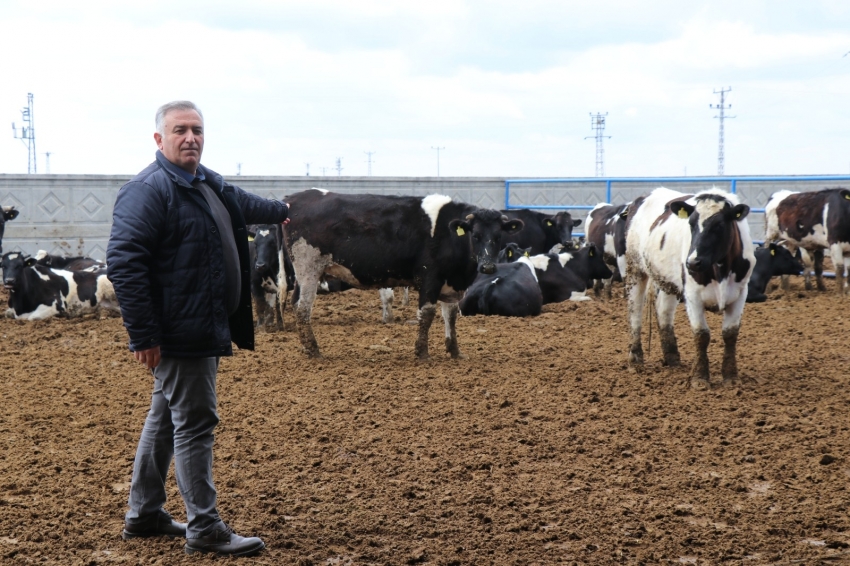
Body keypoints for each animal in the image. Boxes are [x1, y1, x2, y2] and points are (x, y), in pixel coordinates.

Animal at [282, 191, 520, 360]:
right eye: (476, 235)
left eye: (498, 236)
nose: (487, 267)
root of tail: (295, 198)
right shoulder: (429, 278)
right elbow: (427, 314)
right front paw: (422, 353)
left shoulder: (451, 285)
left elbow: (450, 316)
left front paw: (455, 352)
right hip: (308, 268)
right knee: (303, 308)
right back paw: (314, 350)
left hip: (304, 273)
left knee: (295, 303)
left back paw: (306, 348)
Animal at [620, 189, 752, 392]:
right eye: (691, 223)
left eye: (719, 225)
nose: (693, 262)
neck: (720, 270)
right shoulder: (692, 296)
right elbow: (701, 335)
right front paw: (700, 378)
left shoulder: (740, 294)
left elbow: (730, 334)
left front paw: (731, 377)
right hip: (635, 268)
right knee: (635, 312)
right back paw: (635, 359)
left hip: (668, 280)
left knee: (664, 312)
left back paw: (672, 357)